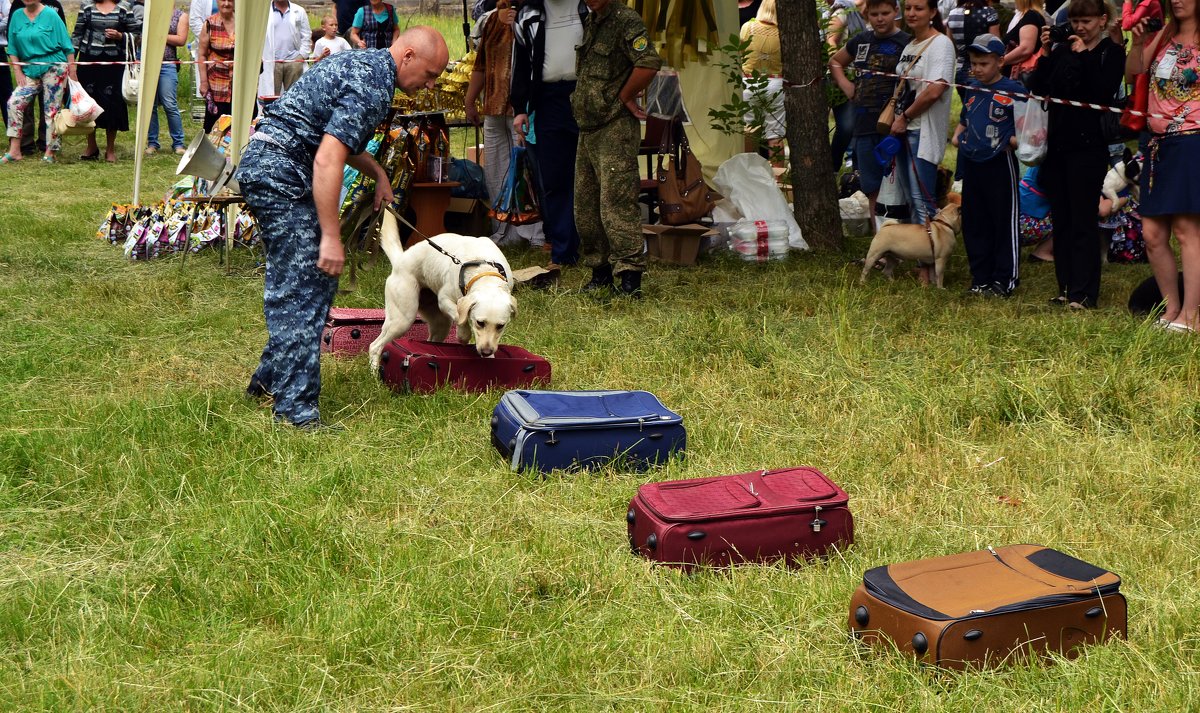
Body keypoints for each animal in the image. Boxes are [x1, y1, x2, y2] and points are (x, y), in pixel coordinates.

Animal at [364, 207, 516, 372]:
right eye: (479, 323)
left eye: (501, 326)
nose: (486, 351)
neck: (483, 270)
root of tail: (400, 259)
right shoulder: (444, 300)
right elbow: (460, 316)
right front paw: (463, 335)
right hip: (402, 319)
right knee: (375, 346)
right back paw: (374, 373)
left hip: (440, 324)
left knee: (431, 340)